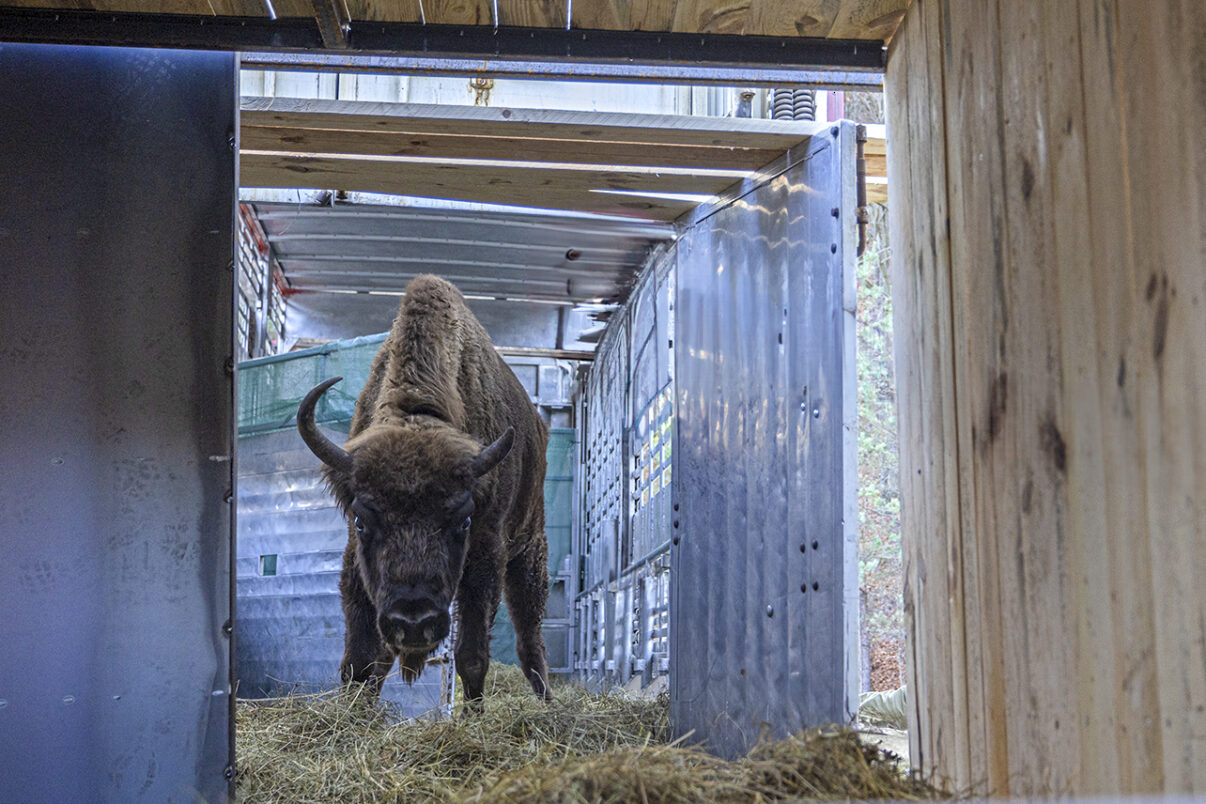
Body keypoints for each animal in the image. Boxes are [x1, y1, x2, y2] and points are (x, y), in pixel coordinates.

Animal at [296, 277, 552, 703]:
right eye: (362, 521)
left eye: (463, 521)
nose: (413, 621)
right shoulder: (356, 560)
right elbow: (361, 659)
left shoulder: (486, 553)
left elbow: (472, 657)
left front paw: (473, 713)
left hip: (529, 547)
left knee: (529, 632)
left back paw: (547, 698)